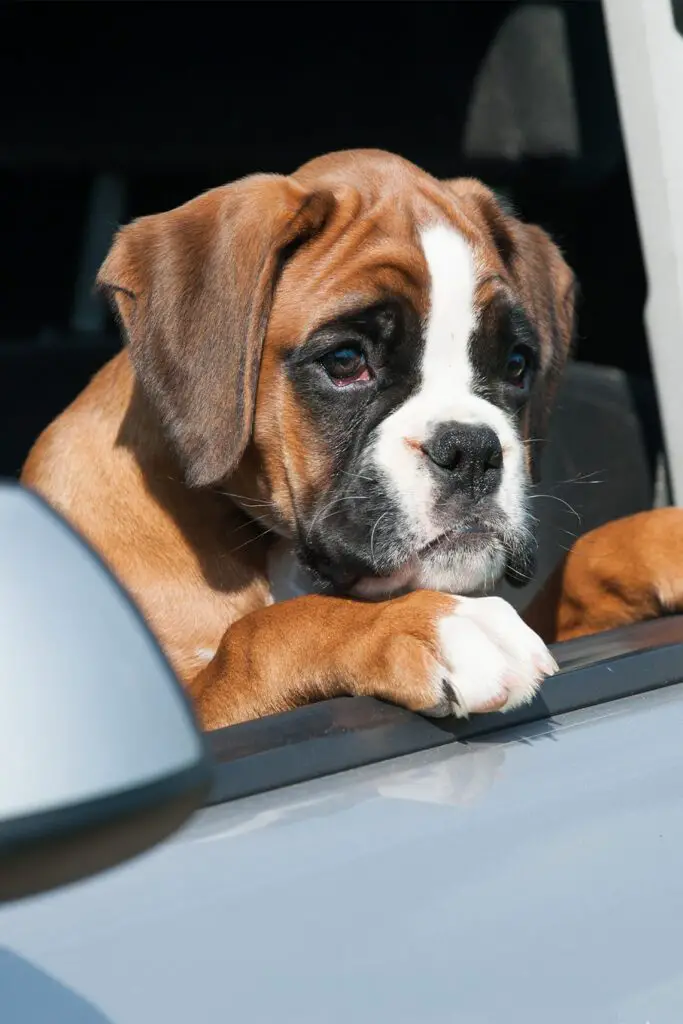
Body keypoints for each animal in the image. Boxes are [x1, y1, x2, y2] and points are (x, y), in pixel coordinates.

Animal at [21, 149, 679, 729]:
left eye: (517, 364)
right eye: (345, 361)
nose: (472, 451)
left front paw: (658, 542)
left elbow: (579, 563)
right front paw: (423, 622)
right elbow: (263, 634)